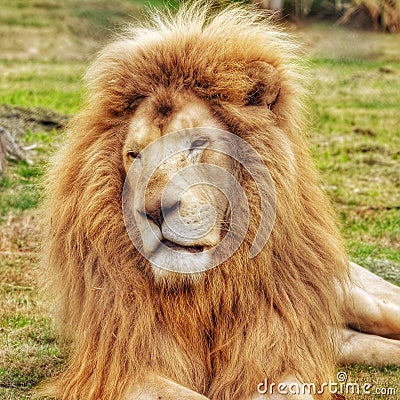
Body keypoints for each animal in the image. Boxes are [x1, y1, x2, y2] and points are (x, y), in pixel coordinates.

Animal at [40, 3, 400, 400]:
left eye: (197, 143)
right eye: (134, 154)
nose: (151, 212)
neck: (205, 291)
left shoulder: (274, 353)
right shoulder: (126, 367)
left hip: (354, 296)